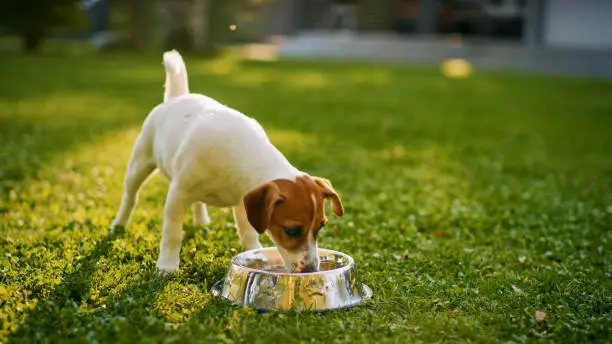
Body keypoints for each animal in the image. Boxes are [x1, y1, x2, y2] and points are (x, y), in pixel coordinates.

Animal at [110, 50, 344, 274]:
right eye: (292, 230)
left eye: (321, 226)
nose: (312, 270)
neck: (241, 152)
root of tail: (177, 96)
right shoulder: (177, 195)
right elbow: (172, 234)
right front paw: (166, 267)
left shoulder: (243, 202)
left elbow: (247, 232)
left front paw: (255, 254)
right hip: (140, 164)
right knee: (130, 197)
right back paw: (118, 224)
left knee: (197, 202)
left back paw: (201, 221)